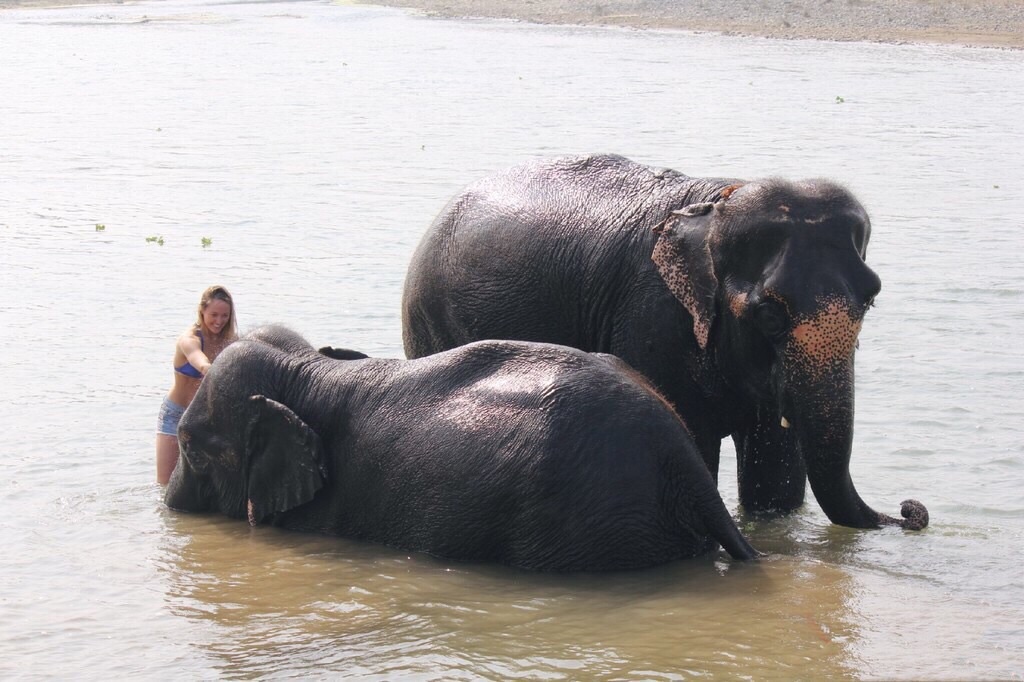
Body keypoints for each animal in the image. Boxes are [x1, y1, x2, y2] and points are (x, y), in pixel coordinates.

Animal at [401, 152, 929, 532]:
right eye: (768, 315)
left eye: (871, 299)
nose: (910, 509)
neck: (716, 206)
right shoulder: (651, 315)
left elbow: (774, 473)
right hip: (429, 321)